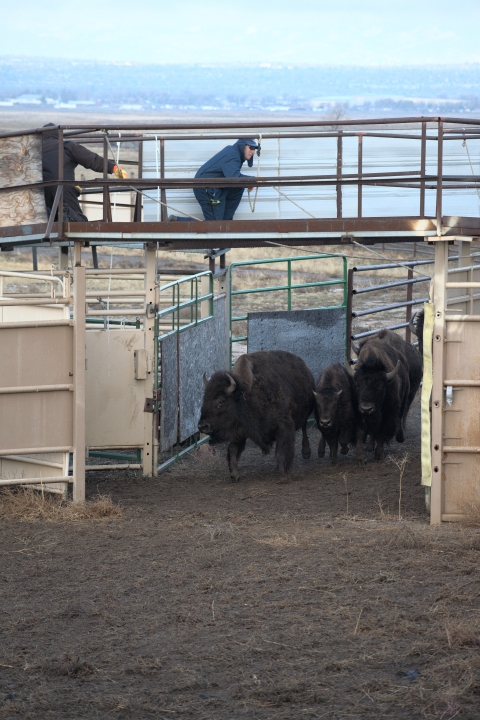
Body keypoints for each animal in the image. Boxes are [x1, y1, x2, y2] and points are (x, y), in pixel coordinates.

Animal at [198, 350, 315, 482]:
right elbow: (232, 449)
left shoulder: (284, 428)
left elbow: (280, 453)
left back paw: (306, 452)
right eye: (204, 399)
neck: (245, 398)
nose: (202, 426)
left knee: (304, 428)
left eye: (221, 401)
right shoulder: (241, 431)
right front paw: (235, 475)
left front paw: (282, 475)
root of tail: (302, 364)